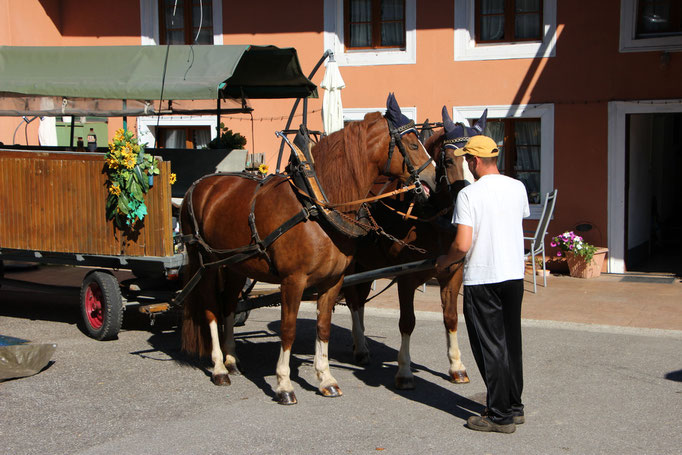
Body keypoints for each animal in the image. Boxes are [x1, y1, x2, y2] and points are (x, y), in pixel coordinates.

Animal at [179, 93, 436, 406]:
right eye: (412, 144)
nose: (433, 178)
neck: (316, 204)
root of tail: (199, 185)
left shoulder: (333, 281)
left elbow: (323, 327)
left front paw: (326, 379)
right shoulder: (293, 280)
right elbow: (288, 330)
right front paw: (284, 384)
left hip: (235, 265)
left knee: (229, 304)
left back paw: (231, 360)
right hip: (205, 264)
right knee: (211, 309)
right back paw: (218, 367)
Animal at [342, 106, 486, 388]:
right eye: (449, 161)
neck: (431, 218)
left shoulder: (452, 274)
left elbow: (451, 318)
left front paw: (457, 366)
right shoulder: (406, 278)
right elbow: (407, 322)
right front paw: (405, 370)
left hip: (366, 264)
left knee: (360, 300)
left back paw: (359, 343)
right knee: (353, 301)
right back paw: (360, 347)